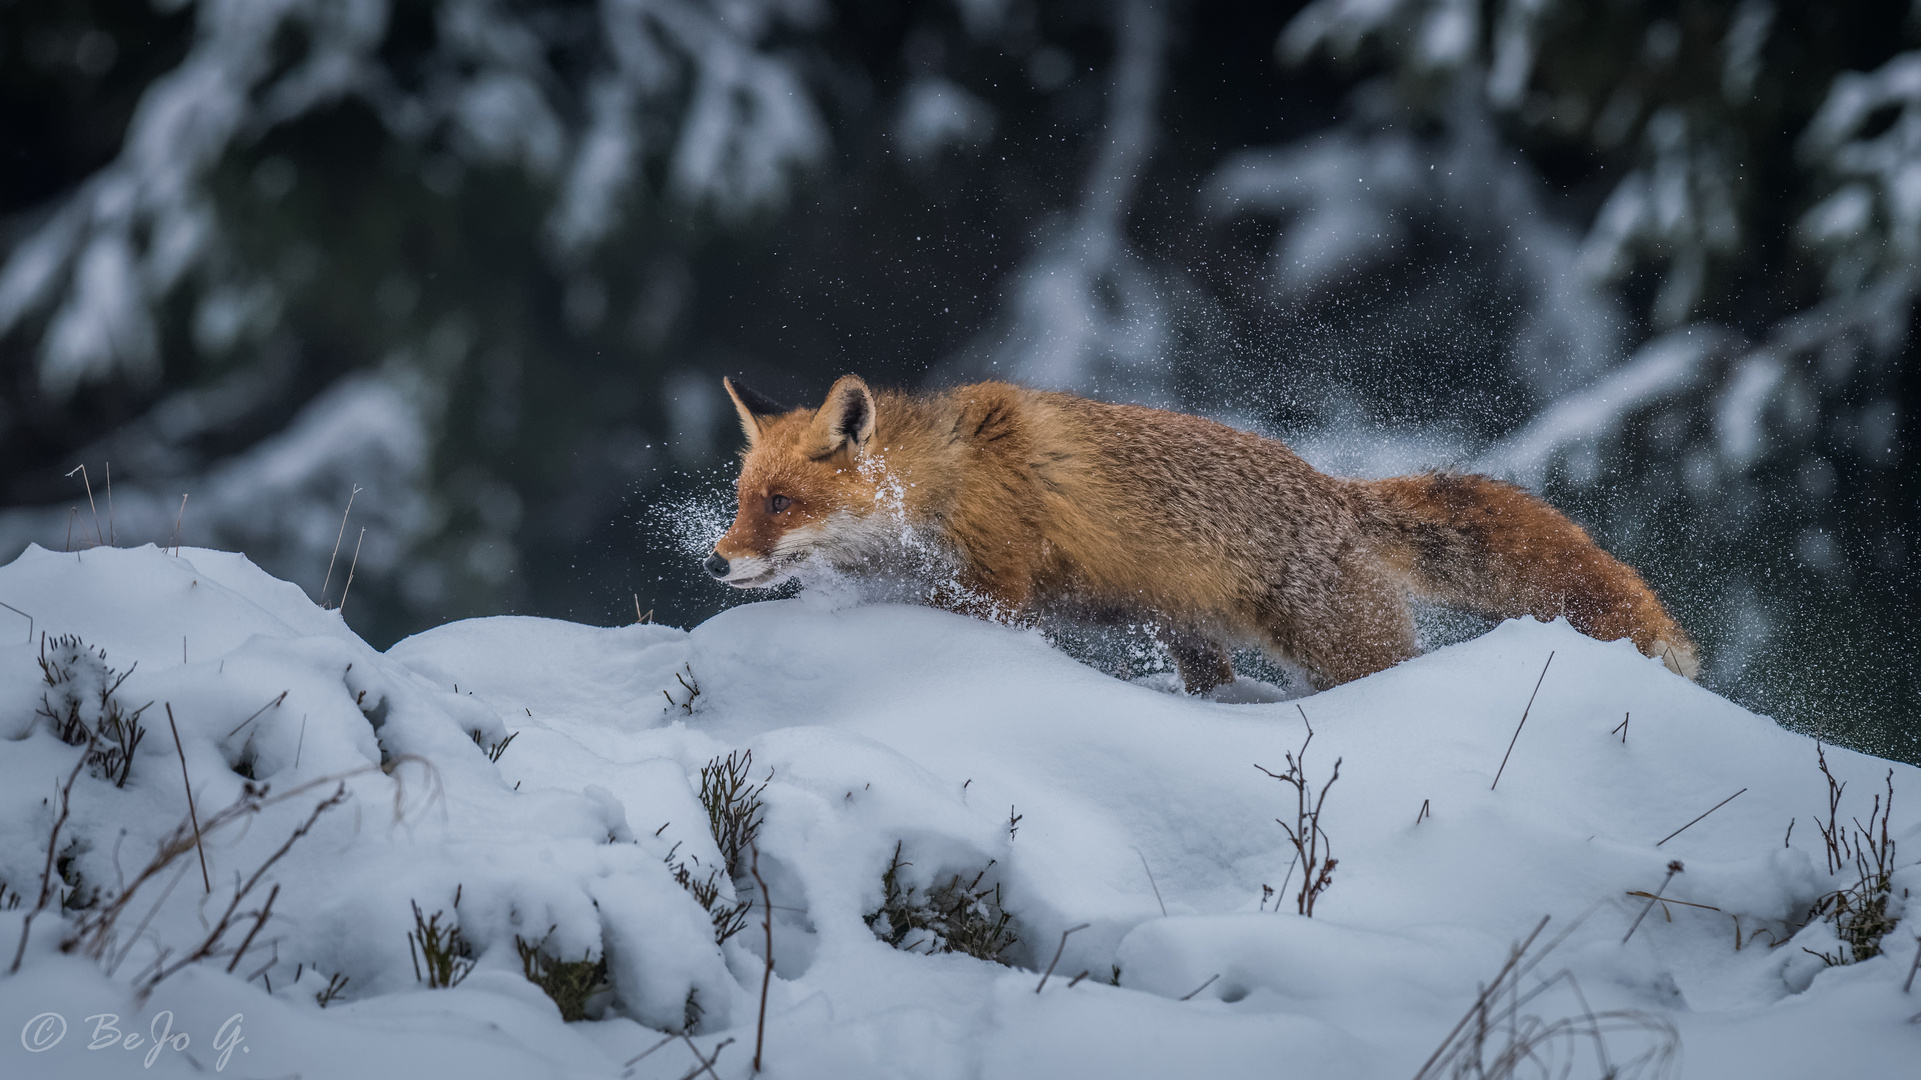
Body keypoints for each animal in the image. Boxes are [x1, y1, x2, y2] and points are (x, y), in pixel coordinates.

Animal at [706, 372, 1698, 687]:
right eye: (744, 496)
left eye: (782, 503)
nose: (716, 564)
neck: (943, 479)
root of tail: (1335, 492)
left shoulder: (997, 590)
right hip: (1195, 640)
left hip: (1336, 644)